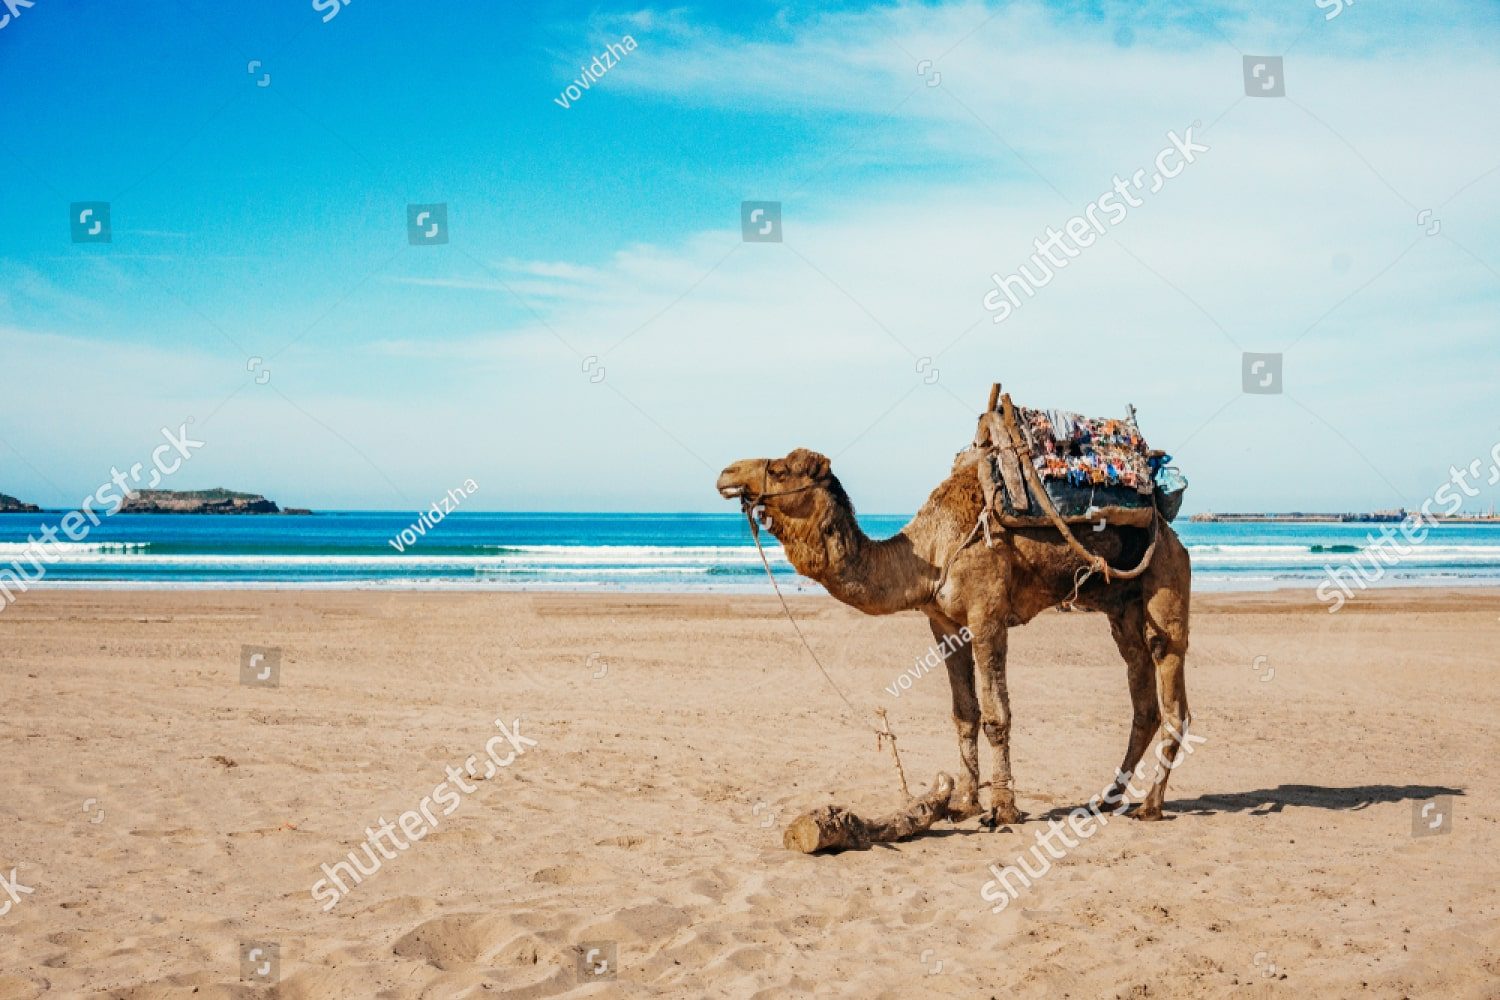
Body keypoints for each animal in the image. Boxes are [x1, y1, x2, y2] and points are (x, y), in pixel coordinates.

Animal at [716, 444, 1192, 826]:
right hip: (1121, 607)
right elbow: (965, 713)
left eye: (780, 470)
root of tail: (1174, 537)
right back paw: (1106, 800)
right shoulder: (944, 625)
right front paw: (964, 802)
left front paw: (1003, 808)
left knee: (1171, 686)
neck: (928, 553)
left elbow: (997, 713)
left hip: (1166, 582)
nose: (727, 473)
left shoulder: (987, 615)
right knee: (1142, 696)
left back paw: (1150, 806)